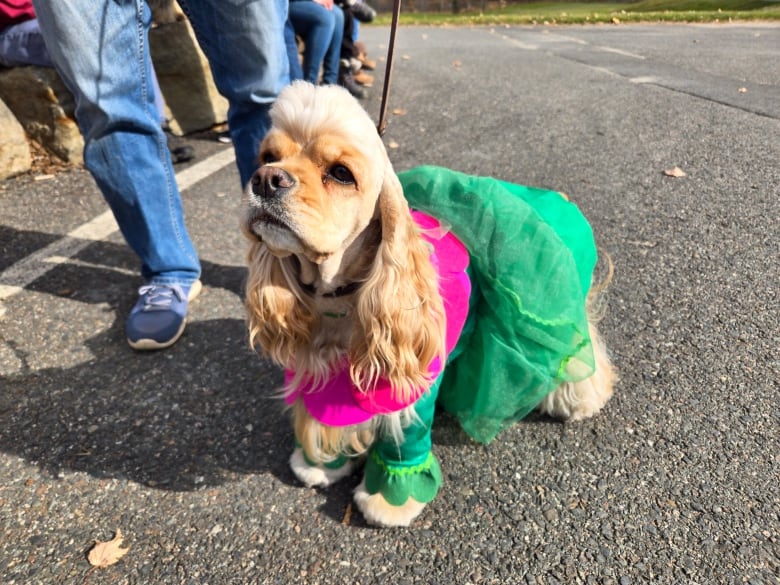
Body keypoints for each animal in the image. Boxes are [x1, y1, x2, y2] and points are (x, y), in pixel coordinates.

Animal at [242, 81, 616, 524]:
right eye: (268, 157)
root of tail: (558, 197)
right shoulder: (321, 371)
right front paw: (319, 464)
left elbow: (404, 441)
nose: (265, 179)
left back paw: (580, 400)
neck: (338, 300)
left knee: (577, 349)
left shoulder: (410, 386)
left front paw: (391, 500)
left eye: (340, 173)